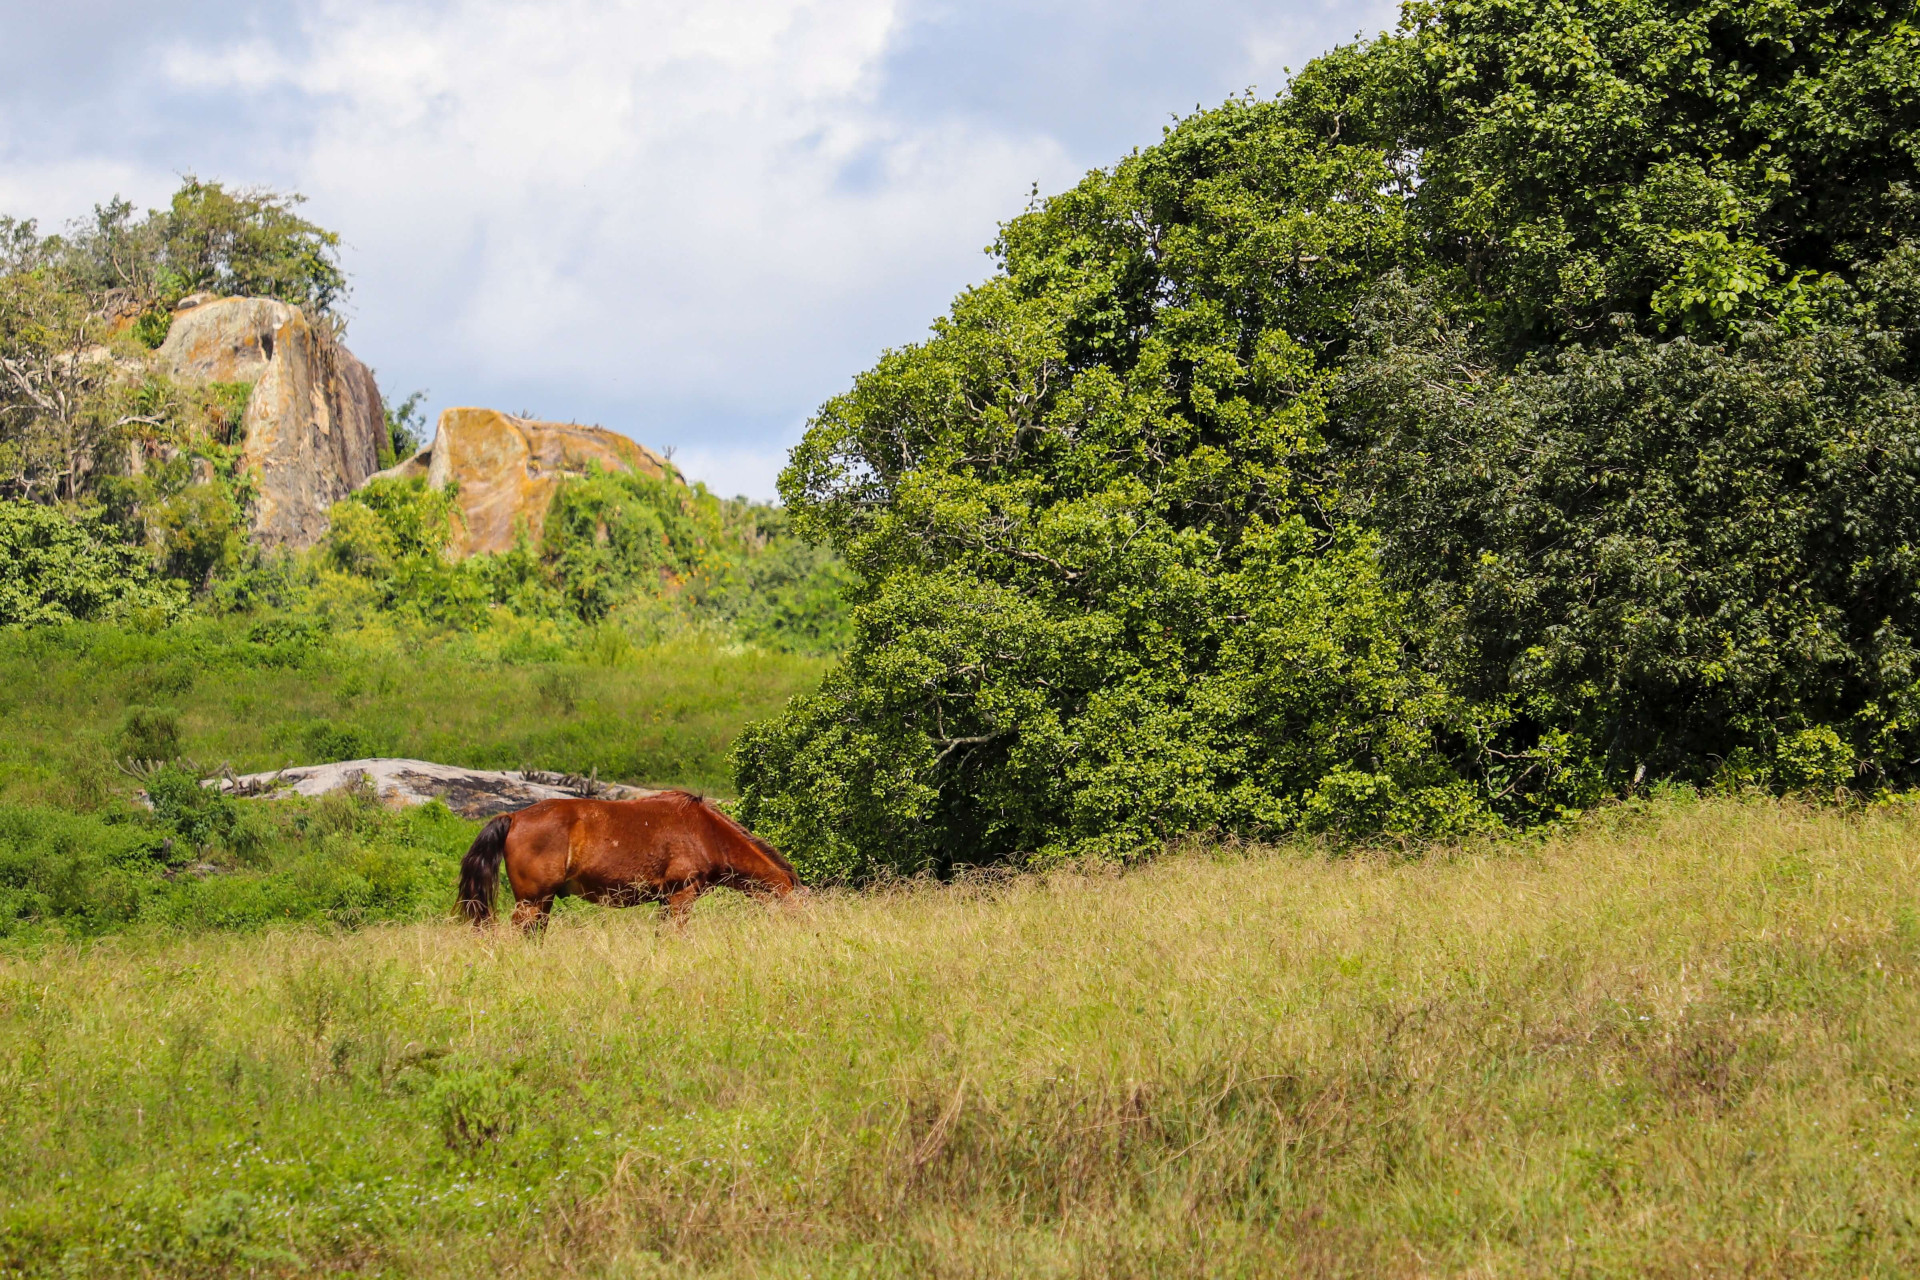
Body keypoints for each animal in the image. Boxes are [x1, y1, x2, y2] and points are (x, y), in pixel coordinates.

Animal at [455, 790, 794, 932]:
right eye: (797, 913)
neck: (706, 832)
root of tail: (514, 817)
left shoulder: (666, 901)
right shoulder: (682, 897)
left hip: (542, 902)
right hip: (532, 900)